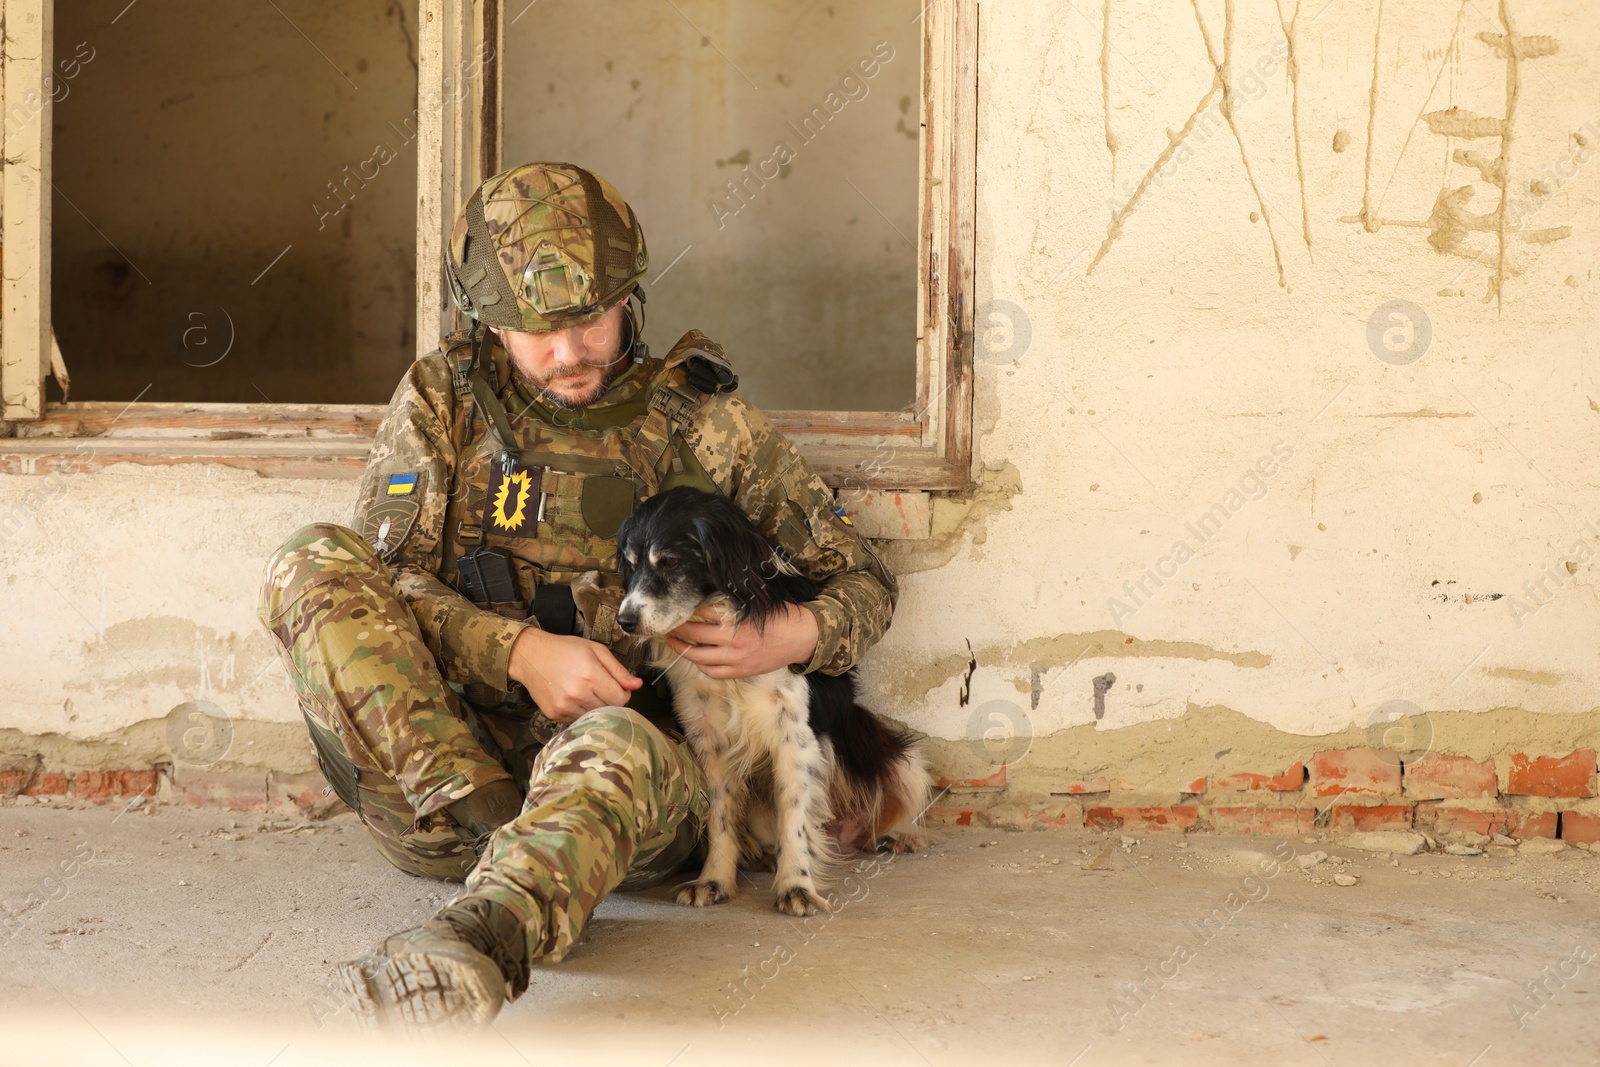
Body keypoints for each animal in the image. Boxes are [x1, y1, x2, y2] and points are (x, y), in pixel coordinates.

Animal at [614, 489, 934, 915]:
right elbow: (720, 819)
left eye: (671, 562)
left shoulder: (795, 738)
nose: (625, 621)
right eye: (630, 565)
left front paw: (796, 885)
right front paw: (714, 880)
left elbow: (794, 817)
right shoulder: (709, 742)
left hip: (896, 756)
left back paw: (898, 835)